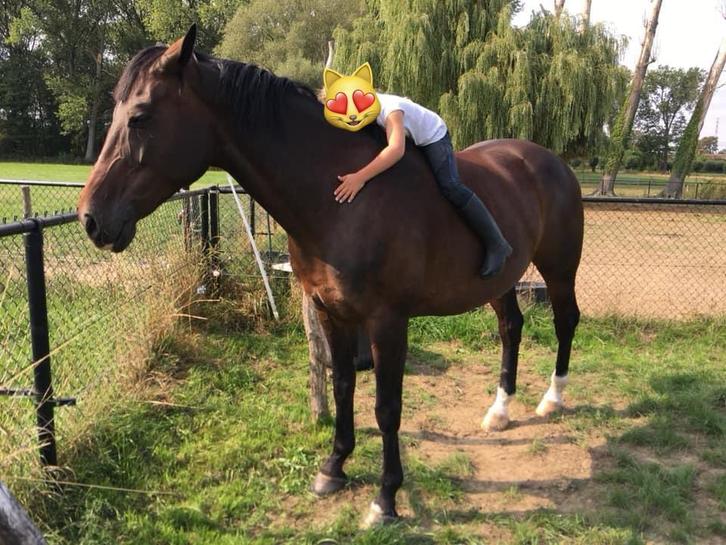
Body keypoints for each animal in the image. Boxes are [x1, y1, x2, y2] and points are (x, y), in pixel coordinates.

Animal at [77, 26, 583, 527]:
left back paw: (552, 399)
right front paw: (334, 468)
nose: (90, 219)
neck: (341, 202)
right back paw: (500, 411)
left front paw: (385, 498)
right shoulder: (330, 312)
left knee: (565, 322)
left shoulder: (387, 322)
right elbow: (342, 388)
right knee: (511, 327)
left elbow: (386, 408)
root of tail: (548, 160)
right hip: (499, 282)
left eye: (139, 117)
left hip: (559, 270)